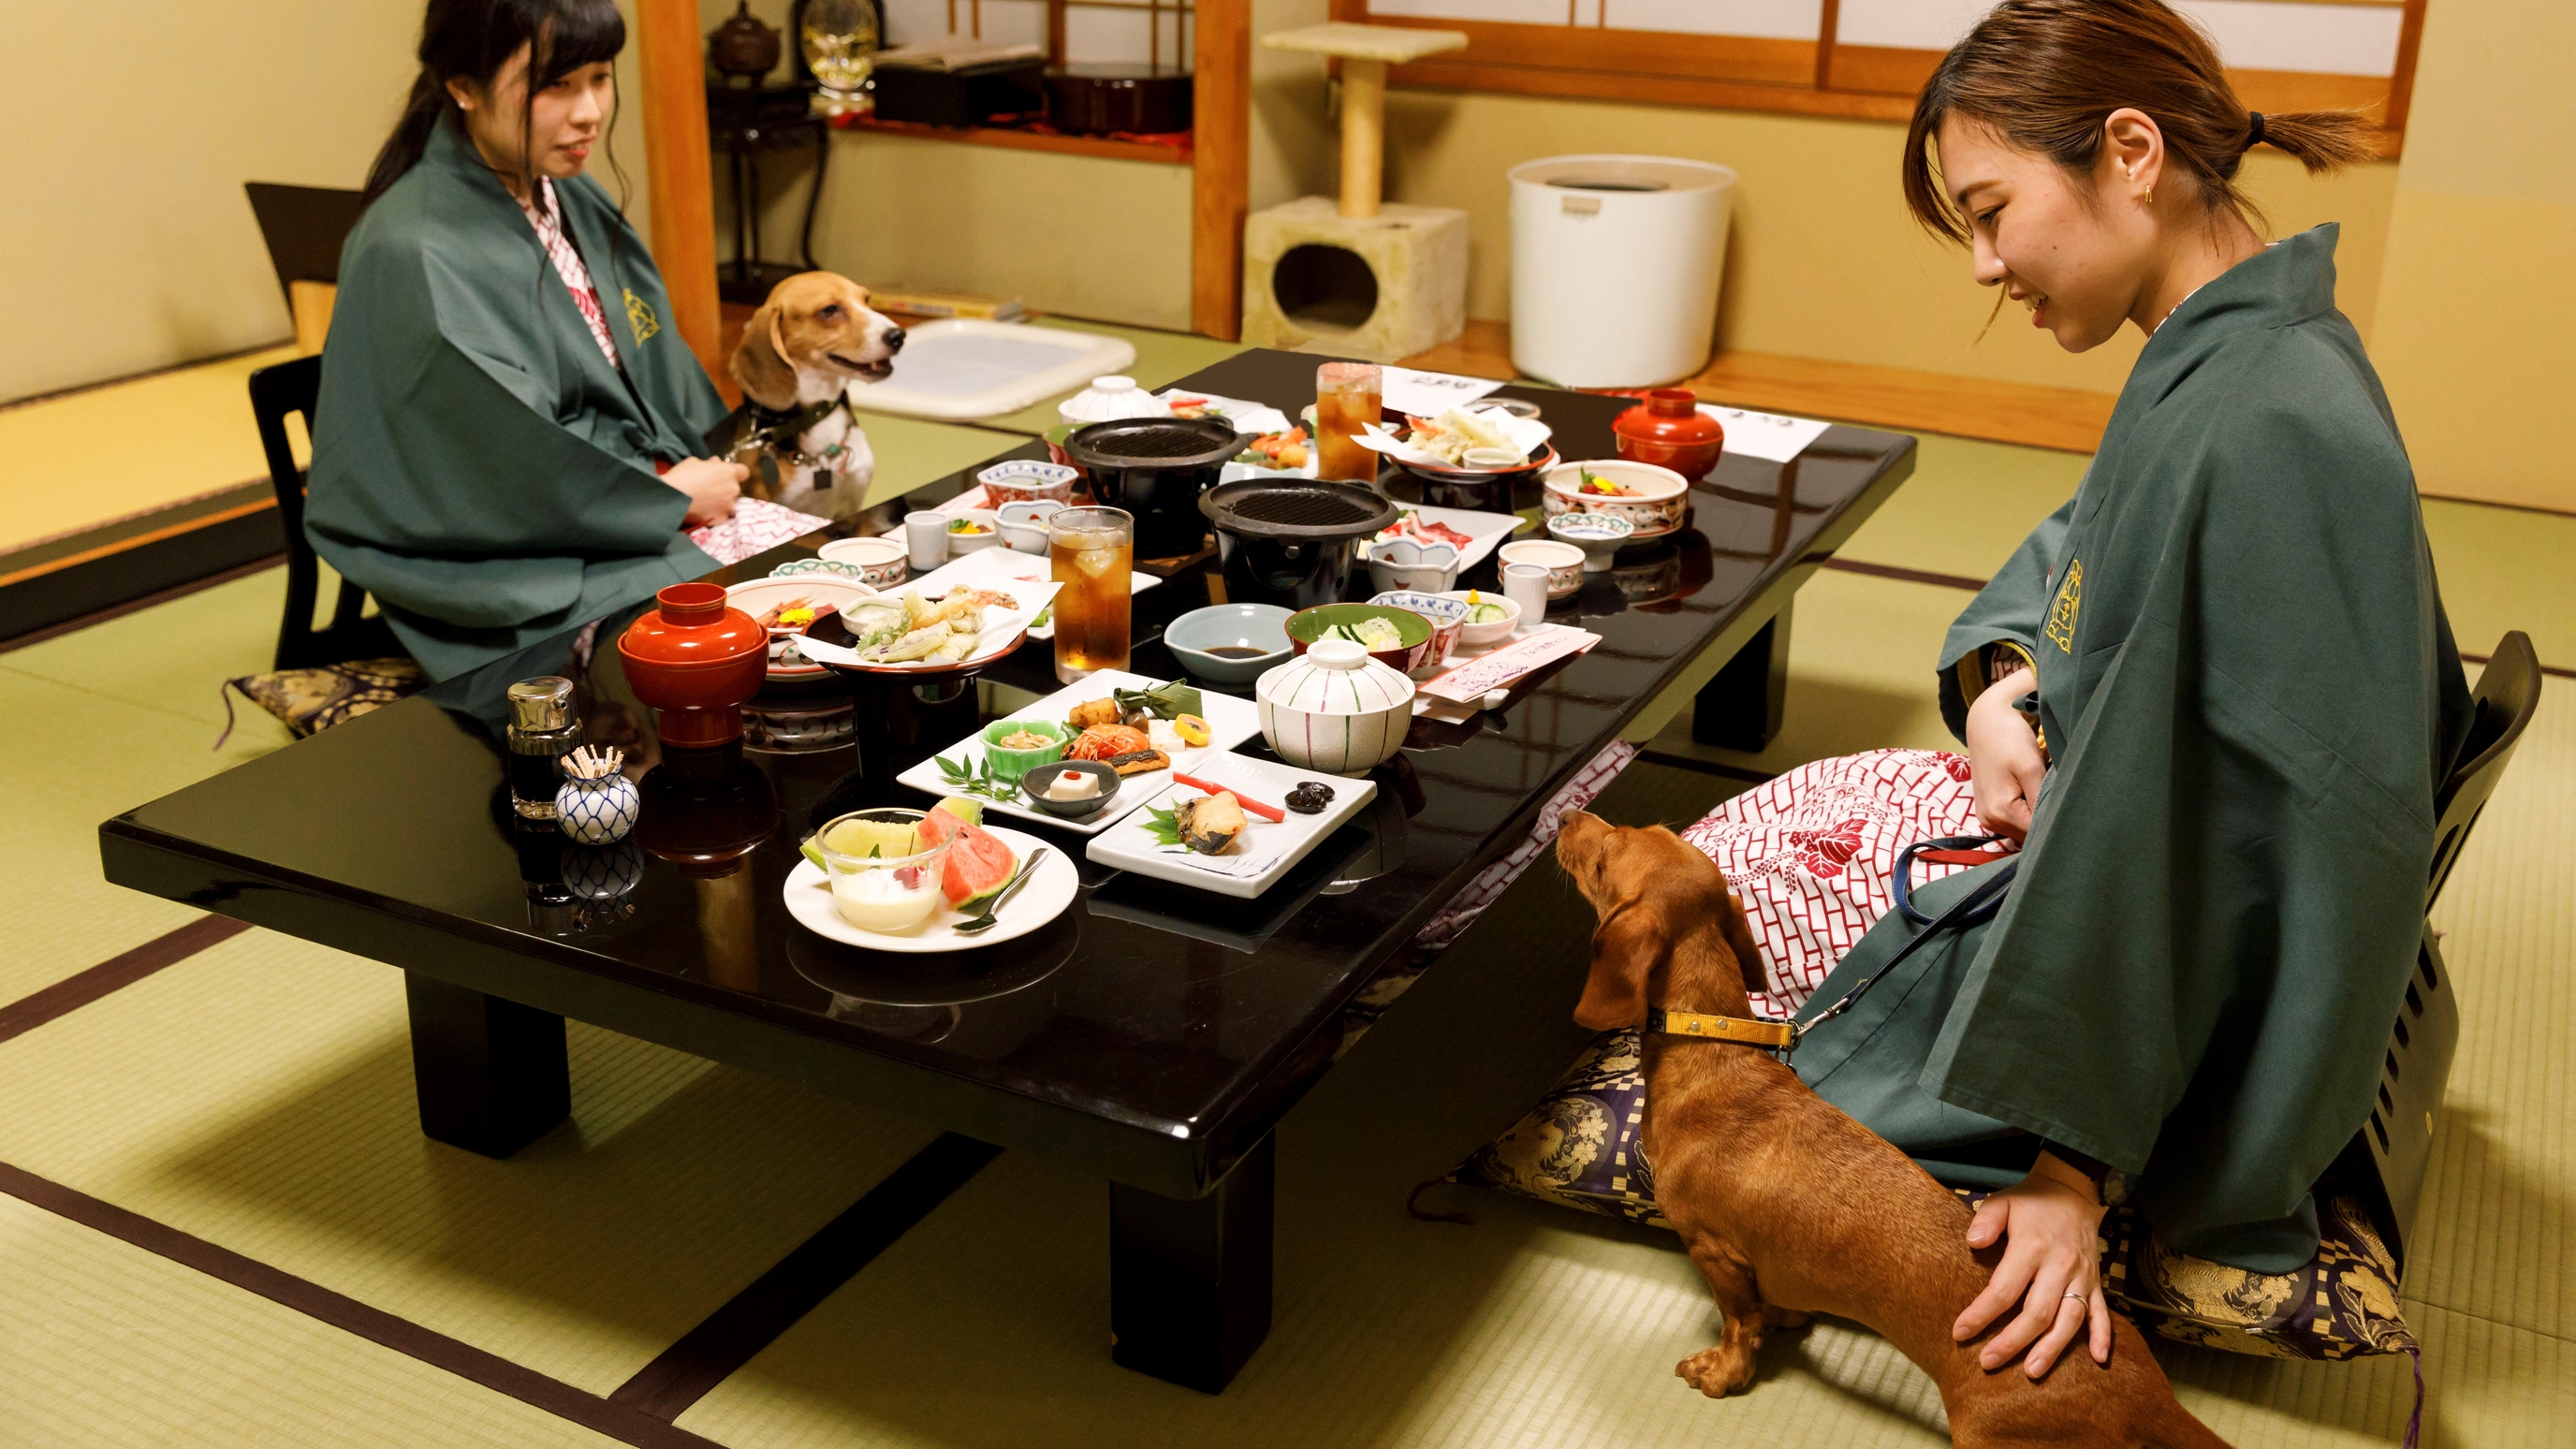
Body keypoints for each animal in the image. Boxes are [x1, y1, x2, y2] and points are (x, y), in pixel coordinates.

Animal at [1545, 814, 2235, 1443]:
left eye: (1605, 855)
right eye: (1652, 828)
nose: (1567, 816)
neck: (1712, 1053)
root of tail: (2148, 1399)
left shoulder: (1715, 1251)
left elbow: (1739, 1326)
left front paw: (1721, 1374)